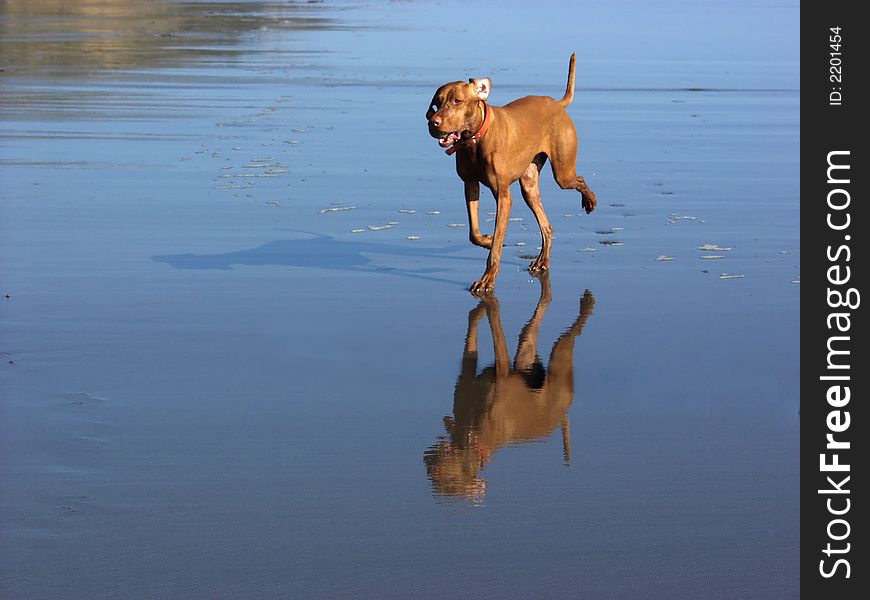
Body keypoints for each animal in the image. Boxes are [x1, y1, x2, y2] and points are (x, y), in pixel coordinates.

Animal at [430, 54, 600, 292]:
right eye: (436, 103)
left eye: (457, 101)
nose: (433, 123)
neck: (476, 140)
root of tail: (557, 104)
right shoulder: (470, 184)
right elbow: (474, 233)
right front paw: (487, 239)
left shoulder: (503, 196)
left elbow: (496, 247)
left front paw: (488, 278)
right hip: (529, 186)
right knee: (546, 226)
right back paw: (542, 260)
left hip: (563, 173)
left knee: (579, 179)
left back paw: (590, 201)